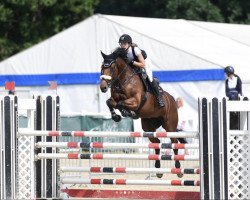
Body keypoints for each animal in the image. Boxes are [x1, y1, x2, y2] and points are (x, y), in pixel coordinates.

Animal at [100, 47, 181, 177]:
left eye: (111, 68)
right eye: (102, 67)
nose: (103, 87)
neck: (123, 80)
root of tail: (172, 99)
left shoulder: (135, 101)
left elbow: (121, 103)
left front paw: (128, 113)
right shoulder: (114, 98)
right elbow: (110, 102)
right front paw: (117, 116)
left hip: (170, 126)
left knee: (174, 142)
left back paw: (178, 169)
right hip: (148, 127)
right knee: (157, 143)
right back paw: (158, 170)